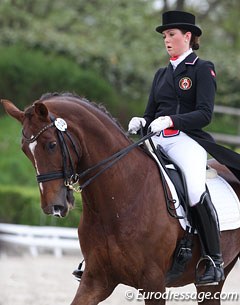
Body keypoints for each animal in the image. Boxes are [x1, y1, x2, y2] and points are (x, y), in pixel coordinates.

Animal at [1, 93, 240, 304]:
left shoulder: (153, 282)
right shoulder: (96, 279)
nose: (54, 206)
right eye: (25, 150)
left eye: (51, 145)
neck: (118, 201)